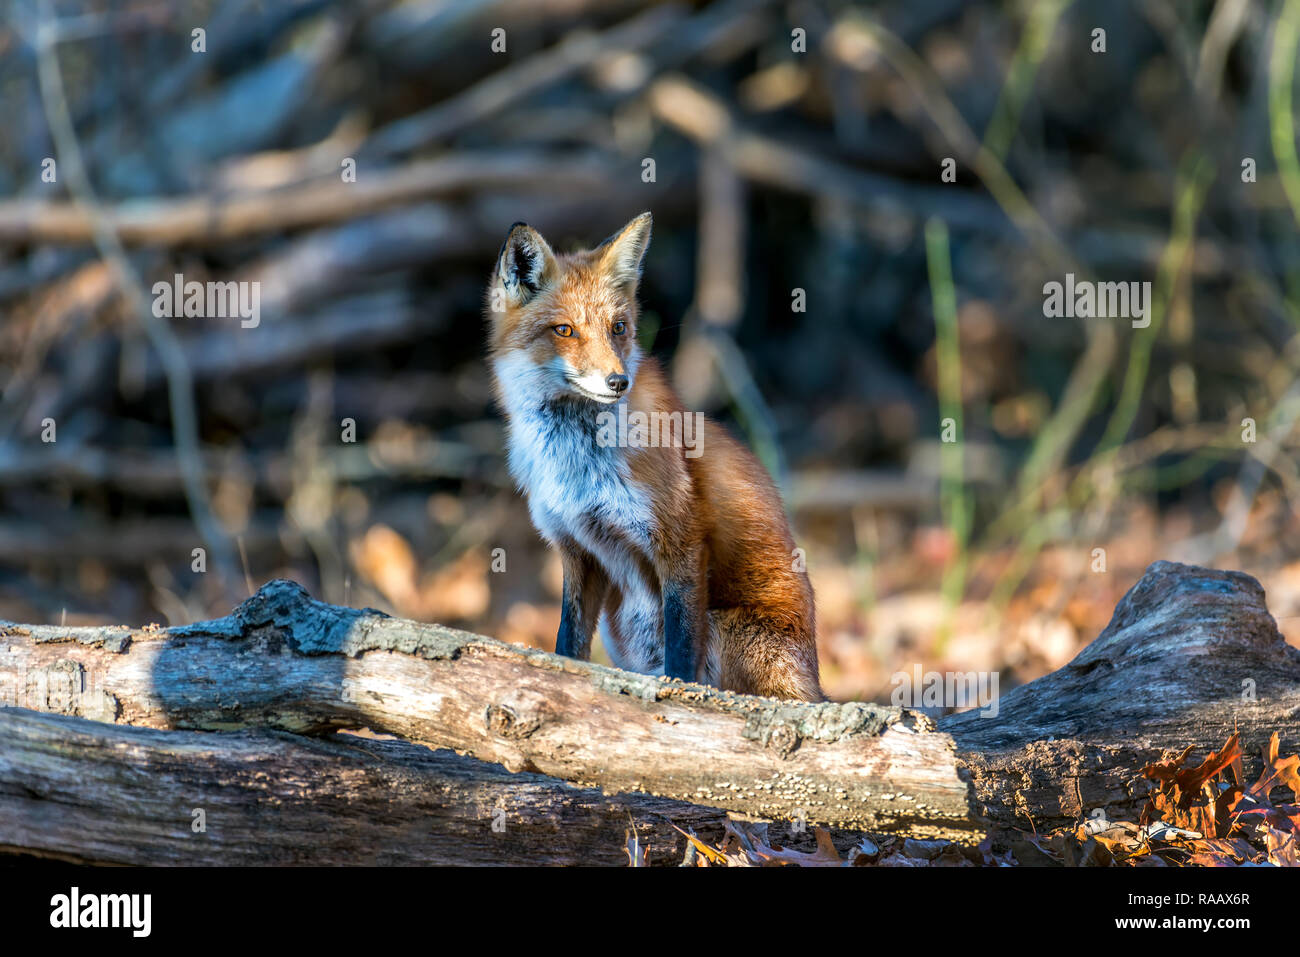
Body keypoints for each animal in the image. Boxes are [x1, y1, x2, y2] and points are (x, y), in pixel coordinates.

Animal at [488, 213, 821, 696]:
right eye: (564, 330)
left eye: (619, 327)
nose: (617, 381)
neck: (577, 463)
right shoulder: (576, 548)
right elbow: (568, 644)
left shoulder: (680, 542)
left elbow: (680, 655)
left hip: (723, 629)